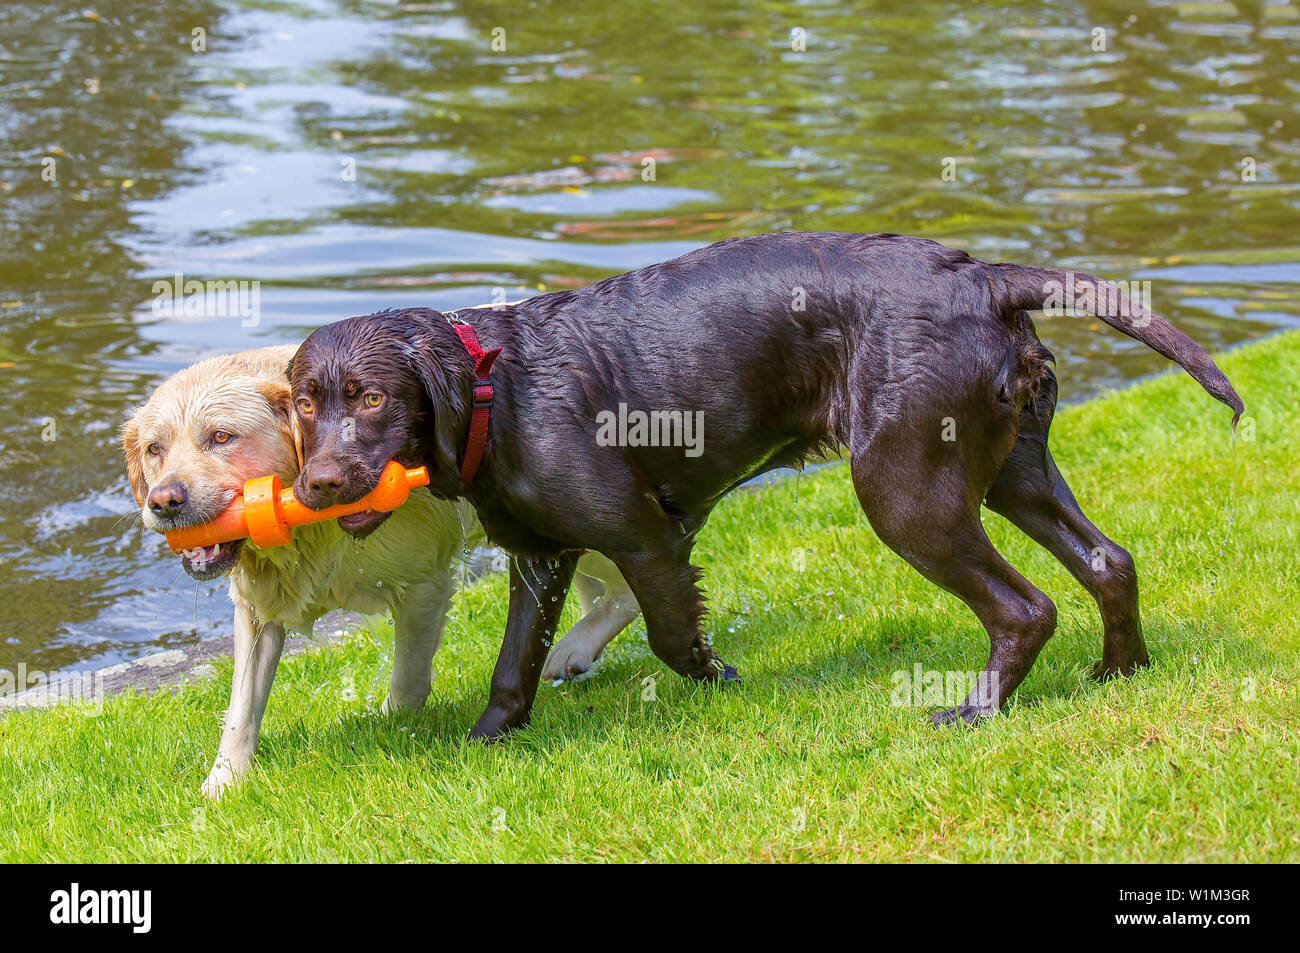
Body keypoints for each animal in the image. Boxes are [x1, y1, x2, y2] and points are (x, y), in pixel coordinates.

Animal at [119, 343, 637, 795]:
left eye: (222, 437)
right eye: (154, 449)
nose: (163, 502)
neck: (312, 527)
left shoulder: (424, 585)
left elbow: (407, 683)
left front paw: (392, 731)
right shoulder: (258, 607)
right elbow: (240, 709)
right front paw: (222, 785)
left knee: (627, 589)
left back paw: (573, 647)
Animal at [284, 234, 1237, 738]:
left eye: (371, 397)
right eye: (303, 402)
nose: (320, 482)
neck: (496, 390)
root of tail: (984, 275)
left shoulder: (646, 537)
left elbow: (672, 636)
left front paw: (723, 682)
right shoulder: (540, 557)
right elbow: (512, 665)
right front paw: (490, 740)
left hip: (905, 489)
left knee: (1025, 606)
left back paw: (971, 712)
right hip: (1012, 468)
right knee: (1110, 561)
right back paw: (1117, 673)